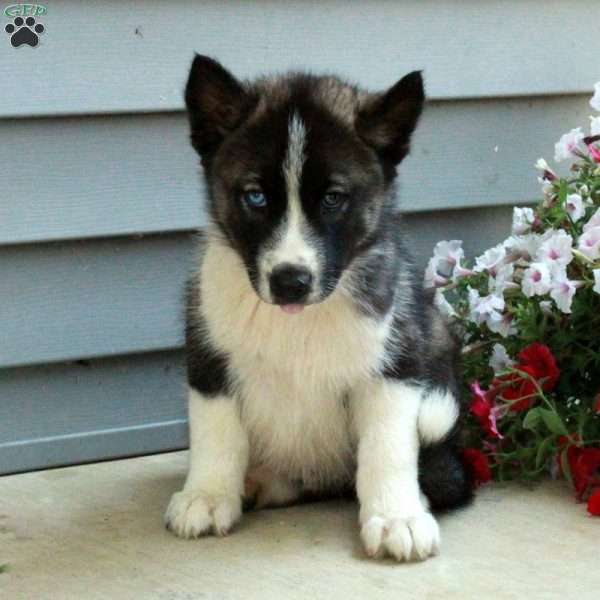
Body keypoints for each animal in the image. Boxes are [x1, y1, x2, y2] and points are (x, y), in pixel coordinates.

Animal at [165, 56, 474, 564]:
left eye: (333, 198)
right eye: (255, 196)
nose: (290, 281)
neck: (298, 322)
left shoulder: (397, 362)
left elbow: (388, 445)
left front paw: (397, 517)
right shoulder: (208, 352)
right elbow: (216, 431)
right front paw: (207, 495)